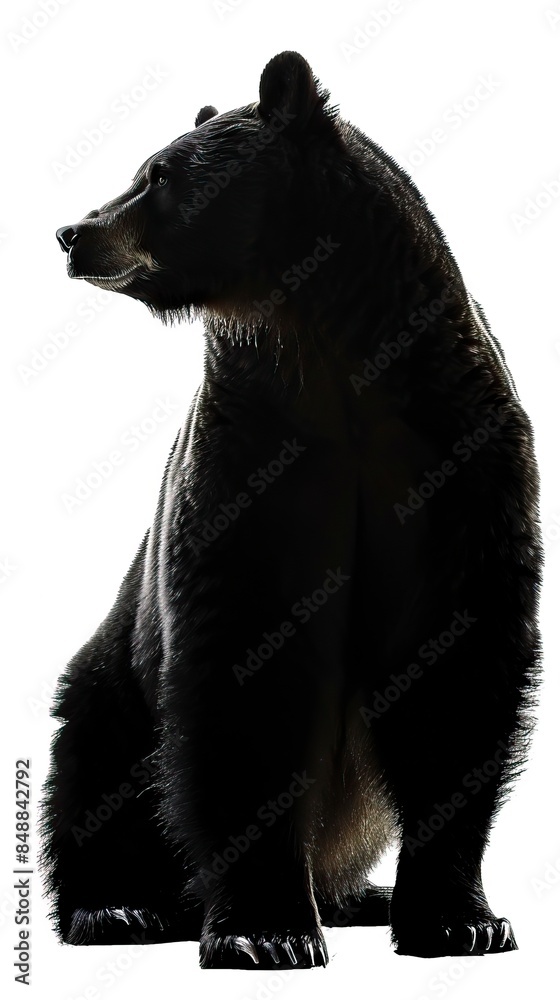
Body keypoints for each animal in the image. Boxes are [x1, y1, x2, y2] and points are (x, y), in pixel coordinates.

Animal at [42, 50, 542, 970]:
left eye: (159, 174)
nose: (74, 231)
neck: (326, 347)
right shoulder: (253, 465)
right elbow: (247, 672)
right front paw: (263, 930)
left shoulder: (454, 459)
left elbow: (458, 668)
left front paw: (462, 920)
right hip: (114, 676)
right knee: (95, 763)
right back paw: (120, 907)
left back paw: (358, 896)